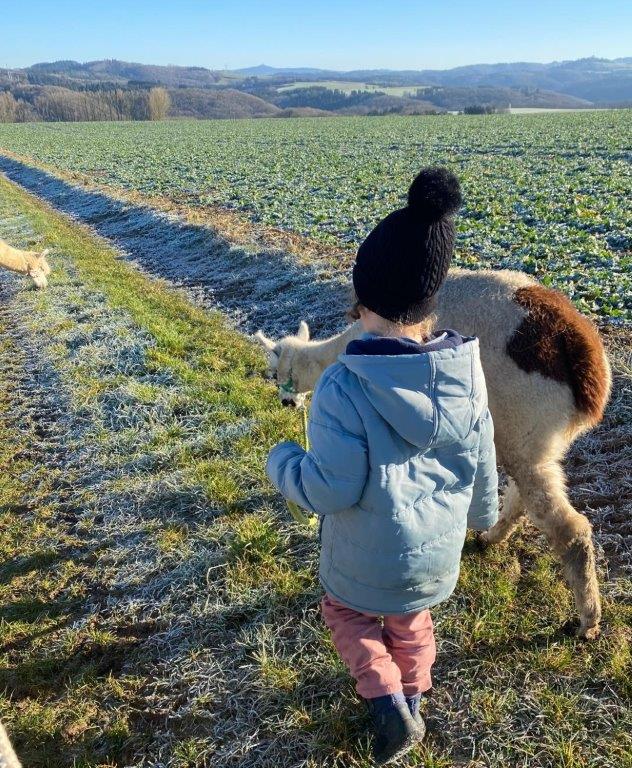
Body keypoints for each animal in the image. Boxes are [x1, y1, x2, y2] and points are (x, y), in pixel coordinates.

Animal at [255, 268, 612, 639]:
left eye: (273, 374)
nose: (286, 402)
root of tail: (586, 367)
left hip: (523, 420)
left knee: (568, 528)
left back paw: (587, 623)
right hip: (535, 439)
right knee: (523, 496)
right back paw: (491, 538)